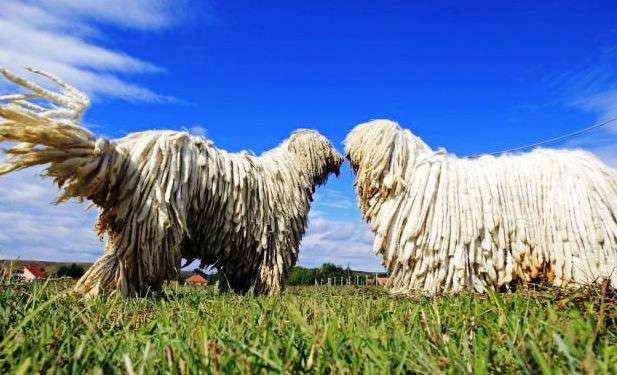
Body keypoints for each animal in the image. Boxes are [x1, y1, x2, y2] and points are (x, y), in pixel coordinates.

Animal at [0, 67, 342, 296]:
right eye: (327, 145)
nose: (339, 158)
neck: (290, 171)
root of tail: (122, 153)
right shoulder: (274, 239)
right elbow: (270, 269)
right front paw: (267, 295)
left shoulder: (243, 243)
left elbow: (240, 271)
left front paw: (239, 292)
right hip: (154, 218)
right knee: (131, 260)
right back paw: (129, 293)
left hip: (132, 221)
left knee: (115, 257)